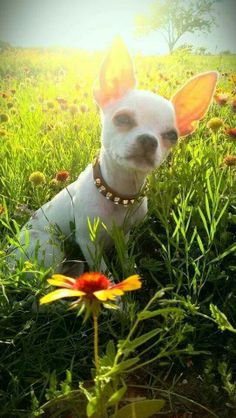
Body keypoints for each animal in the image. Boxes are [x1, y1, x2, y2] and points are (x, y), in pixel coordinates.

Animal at [9, 37, 219, 274]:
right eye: (122, 119)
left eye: (172, 136)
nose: (149, 140)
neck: (120, 193)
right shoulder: (89, 243)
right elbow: (104, 271)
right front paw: (112, 284)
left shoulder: (124, 234)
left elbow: (125, 258)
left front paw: (129, 272)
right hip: (49, 249)